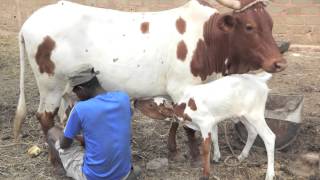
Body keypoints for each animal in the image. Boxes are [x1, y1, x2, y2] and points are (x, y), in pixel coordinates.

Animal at [13, 0, 288, 167]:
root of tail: (30, 22)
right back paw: (54, 161)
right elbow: (187, 126)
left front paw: (173, 150)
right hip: (50, 85)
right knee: (45, 118)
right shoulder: (184, 87)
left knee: (65, 115)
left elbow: (176, 120)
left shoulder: (180, 91)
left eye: (271, 24)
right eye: (249, 26)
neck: (208, 39)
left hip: (66, 89)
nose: (279, 63)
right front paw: (194, 156)